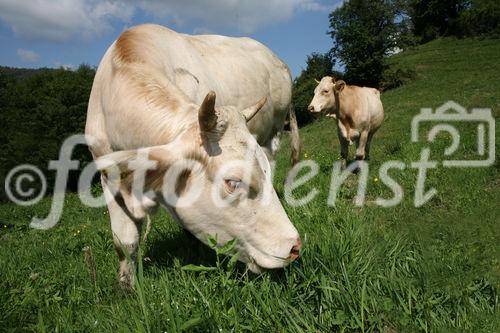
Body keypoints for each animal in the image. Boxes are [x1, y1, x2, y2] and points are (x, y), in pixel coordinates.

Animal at [85, 24, 300, 288]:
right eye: (232, 182)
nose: (294, 246)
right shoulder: (109, 174)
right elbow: (124, 242)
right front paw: (126, 288)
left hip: (275, 129)